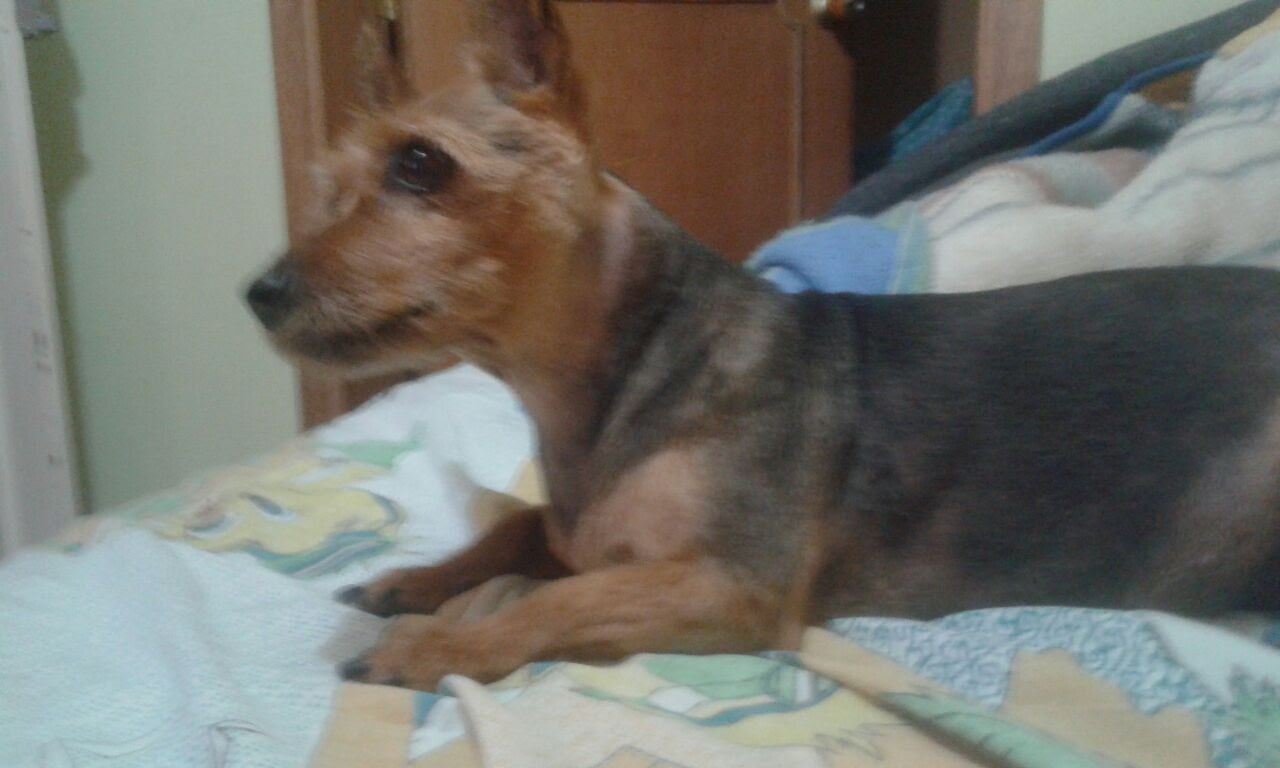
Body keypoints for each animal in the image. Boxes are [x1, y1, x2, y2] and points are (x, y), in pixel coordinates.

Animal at [246, 0, 1280, 691]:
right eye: (329, 187)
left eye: (421, 163)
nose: (258, 294)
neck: (623, 379)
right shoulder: (584, 530)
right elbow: (518, 528)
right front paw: (417, 580)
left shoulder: (734, 584)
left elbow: (553, 597)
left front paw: (442, 645)